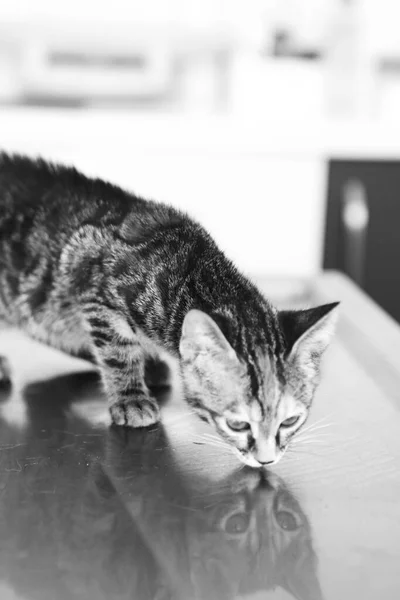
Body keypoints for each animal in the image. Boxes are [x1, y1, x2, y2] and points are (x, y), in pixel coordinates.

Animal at [0, 152, 338, 466]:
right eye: (238, 425)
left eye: (290, 421)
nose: (266, 460)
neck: (190, 270)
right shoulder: (94, 291)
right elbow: (118, 352)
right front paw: (131, 397)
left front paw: (146, 367)